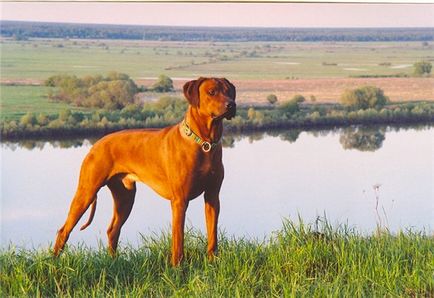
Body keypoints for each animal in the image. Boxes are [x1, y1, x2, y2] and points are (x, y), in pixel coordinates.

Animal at [53, 77, 237, 266]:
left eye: (229, 91)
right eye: (212, 92)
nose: (231, 105)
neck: (205, 143)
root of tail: (96, 144)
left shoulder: (212, 197)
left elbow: (212, 235)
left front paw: (213, 261)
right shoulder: (180, 201)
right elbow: (178, 239)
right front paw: (177, 267)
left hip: (125, 198)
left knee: (113, 230)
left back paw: (114, 262)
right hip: (86, 192)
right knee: (63, 230)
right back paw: (53, 262)